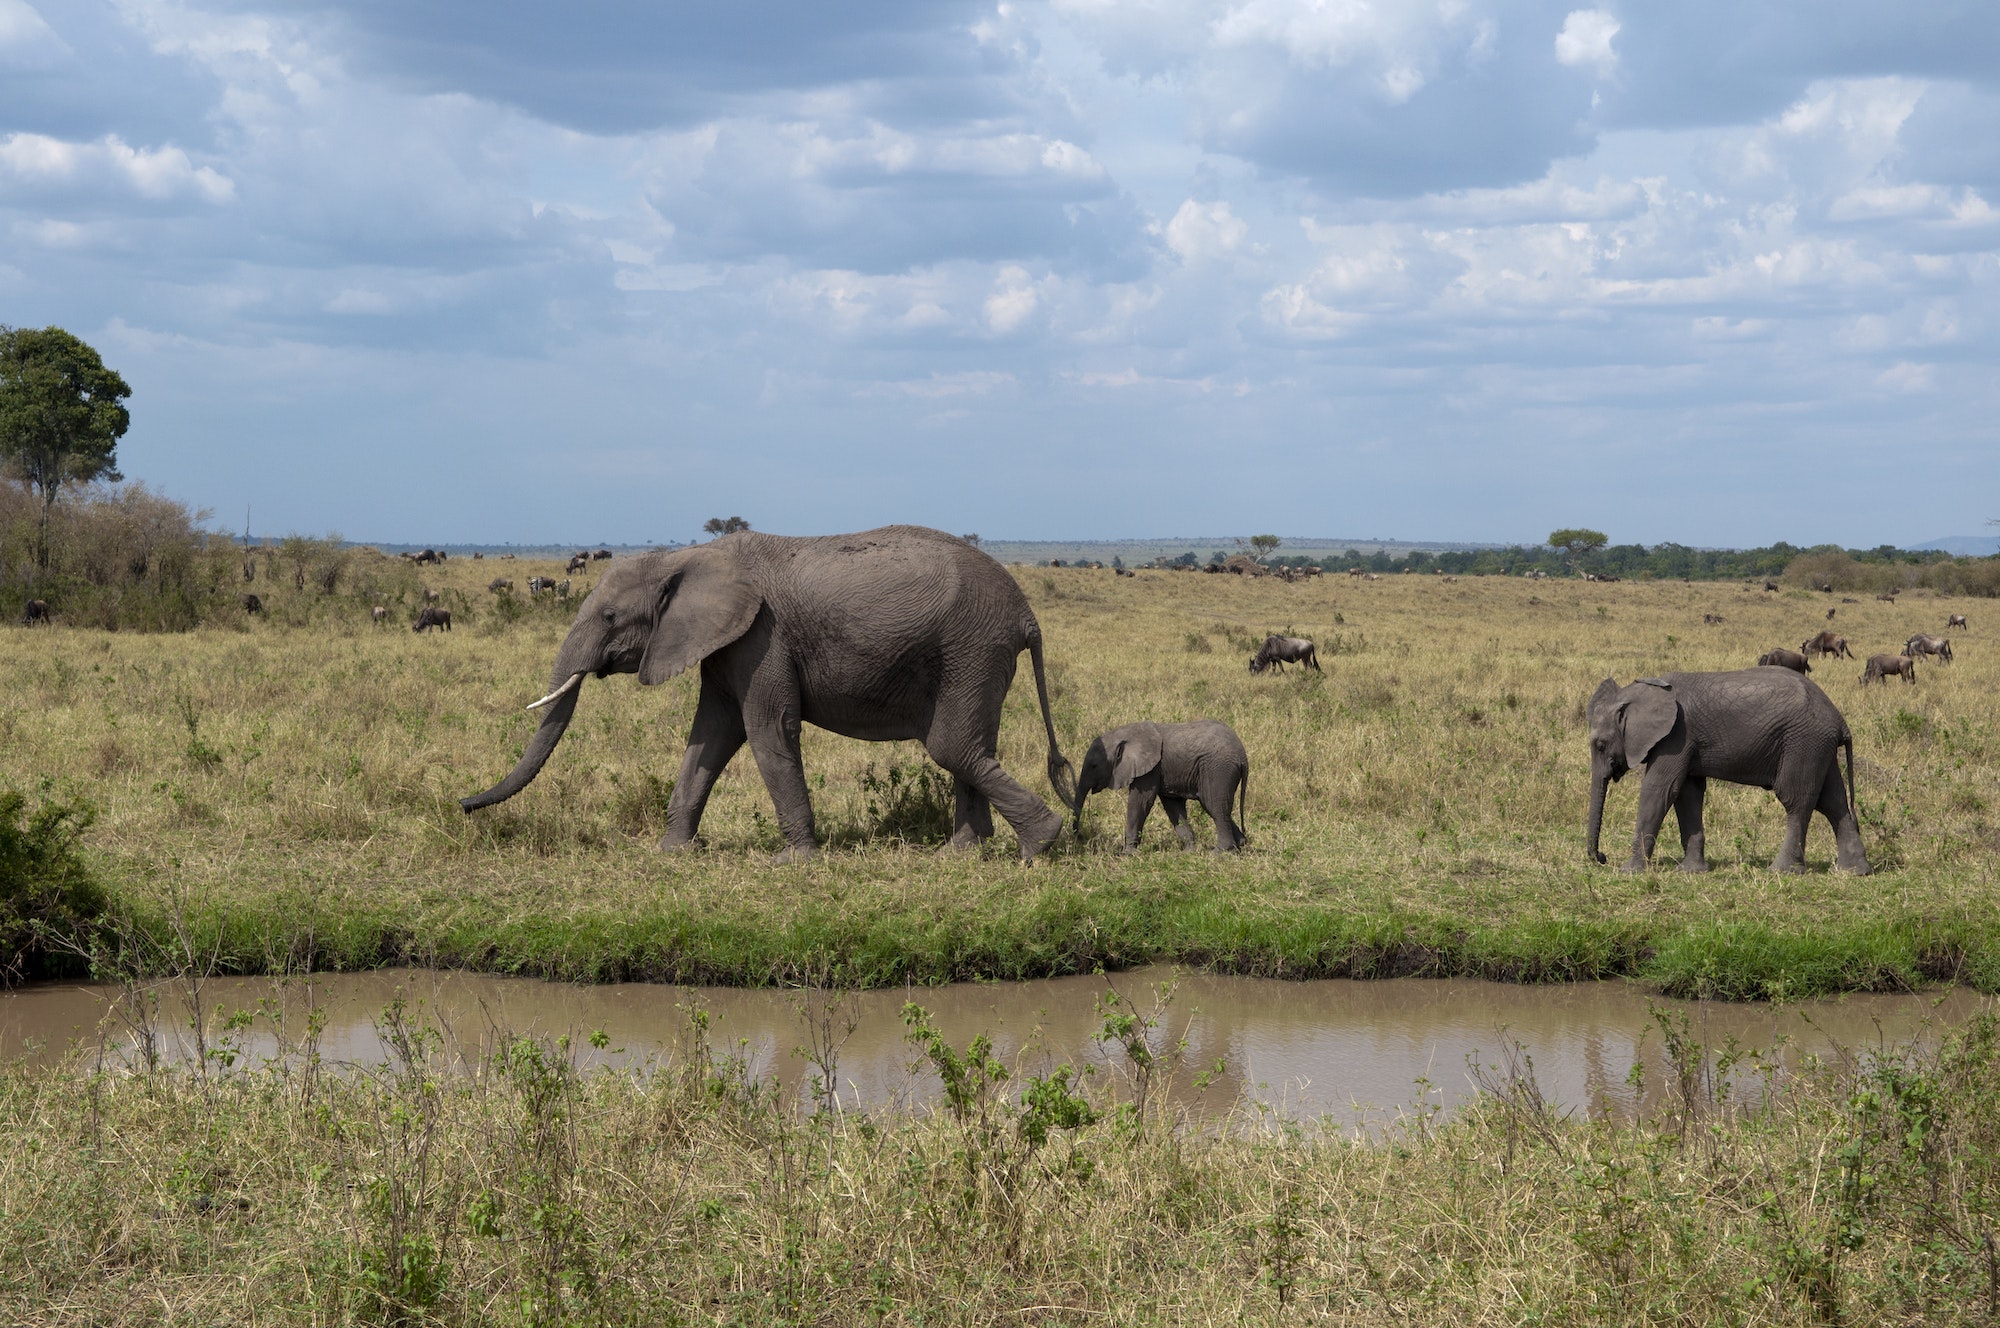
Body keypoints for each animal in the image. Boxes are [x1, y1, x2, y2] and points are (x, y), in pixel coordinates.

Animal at [460, 524, 1080, 868]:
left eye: (610, 617)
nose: (463, 805)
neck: (684, 557)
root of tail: (1027, 615)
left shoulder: (762, 636)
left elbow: (766, 729)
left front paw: (793, 861)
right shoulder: (724, 642)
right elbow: (710, 736)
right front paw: (673, 853)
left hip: (972, 646)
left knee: (952, 746)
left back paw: (1039, 847)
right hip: (976, 654)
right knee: (971, 747)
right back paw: (960, 855)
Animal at [1072, 720, 1240, 856]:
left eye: (1094, 766)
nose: (1080, 837)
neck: (1126, 734)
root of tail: (1242, 754)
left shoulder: (1151, 769)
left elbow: (1140, 802)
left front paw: (1127, 854)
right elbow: (1172, 806)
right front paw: (1188, 852)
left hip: (1219, 770)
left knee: (1215, 805)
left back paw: (1219, 853)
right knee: (1213, 806)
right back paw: (1238, 846)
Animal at [1584, 668, 1864, 876]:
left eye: (1601, 745)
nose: (1602, 857)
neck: (1643, 690)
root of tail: (1841, 722)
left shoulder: (1676, 736)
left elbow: (1659, 790)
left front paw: (1629, 871)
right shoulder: (1687, 742)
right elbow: (1687, 794)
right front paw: (1692, 872)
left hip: (1803, 742)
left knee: (1796, 801)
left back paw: (1781, 871)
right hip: (1818, 746)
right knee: (1833, 802)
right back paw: (1853, 871)